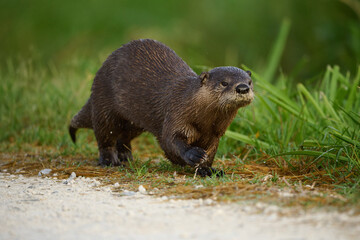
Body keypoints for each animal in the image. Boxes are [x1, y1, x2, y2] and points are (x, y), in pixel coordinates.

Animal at [68, 39, 253, 176]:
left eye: (250, 82)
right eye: (224, 83)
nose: (243, 88)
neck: (203, 122)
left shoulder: (215, 135)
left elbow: (211, 154)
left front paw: (207, 170)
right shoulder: (175, 115)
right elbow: (170, 141)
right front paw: (194, 154)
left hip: (135, 123)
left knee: (124, 137)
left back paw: (126, 157)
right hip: (104, 106)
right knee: (105, 136)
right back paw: (110, 161)